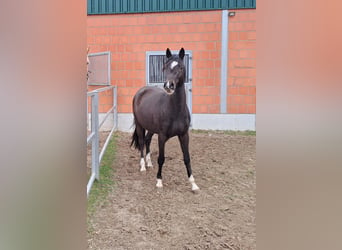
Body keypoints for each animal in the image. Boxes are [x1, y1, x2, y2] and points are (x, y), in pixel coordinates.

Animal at [132, 47, 200, 191]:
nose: (169, 85)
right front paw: (159, 181)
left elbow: (187, 158)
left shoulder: (184, 135)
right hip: (140, 125)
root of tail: (140, 92)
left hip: (151, 128)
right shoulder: (162, 136)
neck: (175, 110)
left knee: (147, 140)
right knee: (141, 142)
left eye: (181, 67)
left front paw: (193, 183)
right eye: (164, 67)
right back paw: (142, 166)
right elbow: (161, 158)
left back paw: (149, 163)